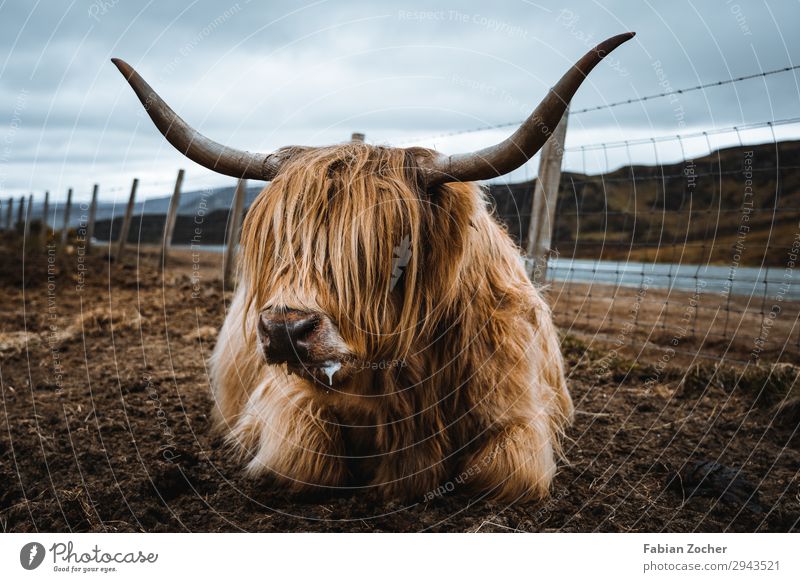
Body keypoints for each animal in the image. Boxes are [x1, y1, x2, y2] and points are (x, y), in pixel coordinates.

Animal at [114, 34, 636, 504]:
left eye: (389, 250)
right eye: (280, 239)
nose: (285, 329)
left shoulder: (518, 417)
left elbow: (506, 472)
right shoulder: (284, 403)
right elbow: (306, 456)